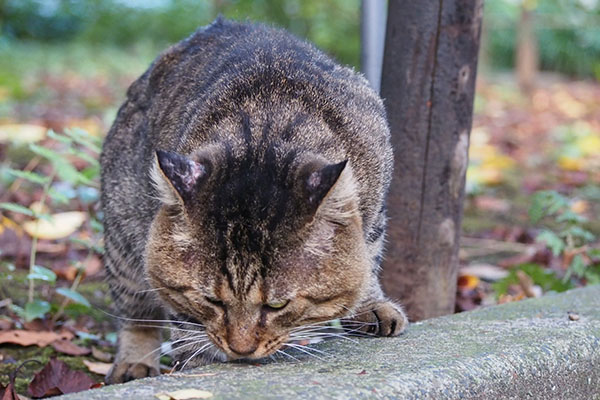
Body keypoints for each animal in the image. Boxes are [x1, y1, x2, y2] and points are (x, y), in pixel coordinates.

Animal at [101, 17, 408, 382]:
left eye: (277, 305)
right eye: (212, 301)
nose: (241, 349)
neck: (267, 134)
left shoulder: (375, 206)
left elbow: (368, 255)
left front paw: (369, 303)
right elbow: (185, 323)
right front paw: (201, 362)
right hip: (123, 236)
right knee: (135, 314)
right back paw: (134, 363)